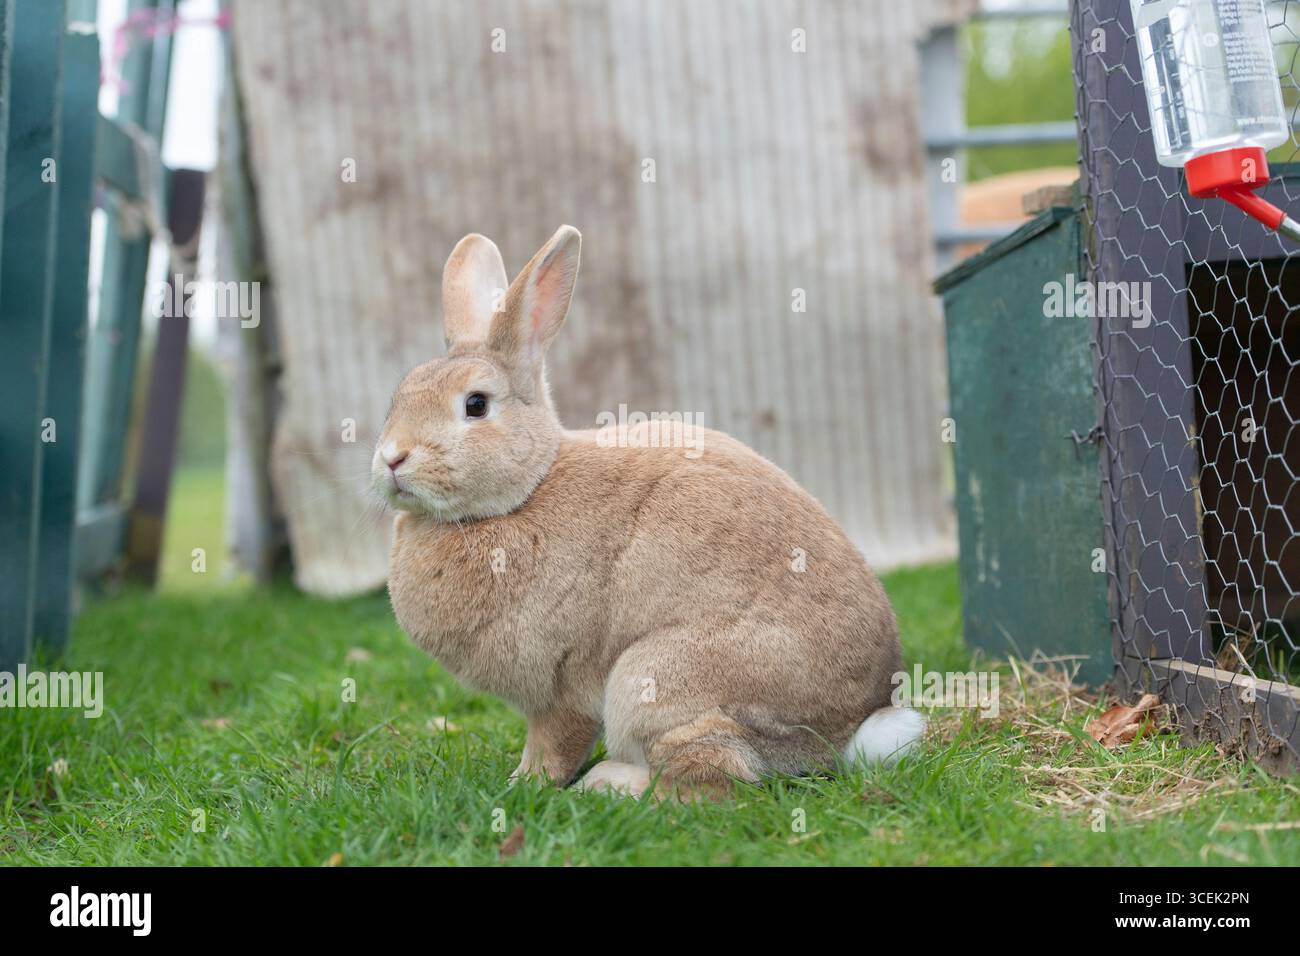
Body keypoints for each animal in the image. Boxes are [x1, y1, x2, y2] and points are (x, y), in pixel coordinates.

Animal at [375, 225, 924, 799]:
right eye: (399, 396)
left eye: (476, 405)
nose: (392, 458)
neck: (525, 493)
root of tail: (848, 730)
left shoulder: (563, 687)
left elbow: (553, 746)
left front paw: (521, 784)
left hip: (658, 680)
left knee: (708, 778)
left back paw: (610, 783)